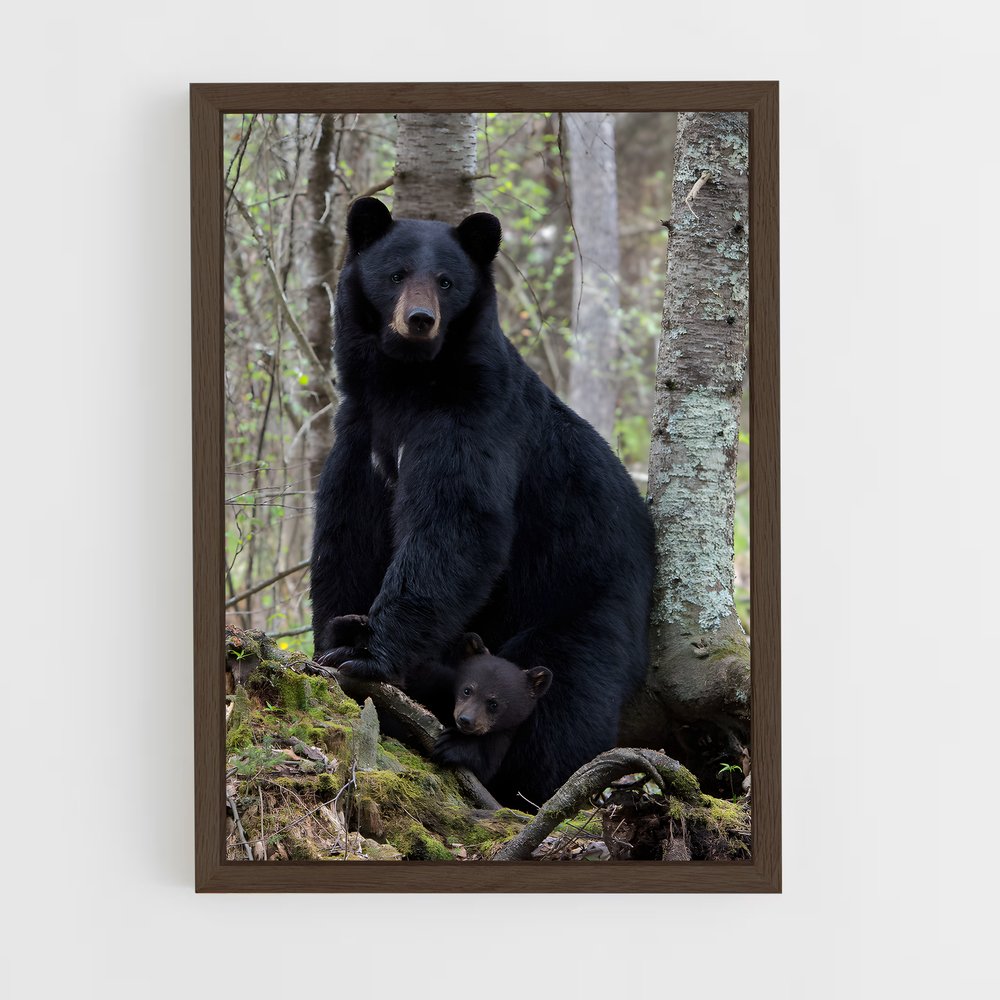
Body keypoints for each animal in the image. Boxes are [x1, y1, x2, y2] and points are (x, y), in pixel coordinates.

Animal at [310, 196, 655, 808]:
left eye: (446, 281)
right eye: (396, 273)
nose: (419, 320)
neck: (408, 383)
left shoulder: (476, 417)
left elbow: (458, 523)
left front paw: (368, 652)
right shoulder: (360, 429)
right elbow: (347, 531)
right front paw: (333, 636)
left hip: (583, 599)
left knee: (566, 698)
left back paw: (533, 789)